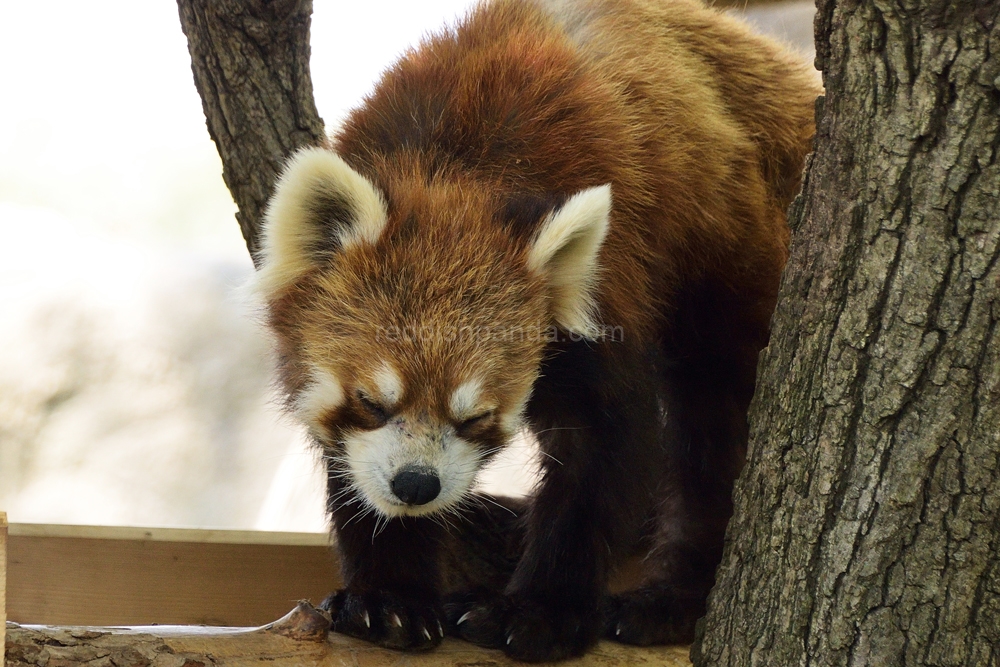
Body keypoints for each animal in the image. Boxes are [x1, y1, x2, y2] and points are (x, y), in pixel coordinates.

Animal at [254, 0, 816, 660]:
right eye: (370, 400)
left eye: (477, 416)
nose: (417, 485)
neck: (454, 168)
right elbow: (357, 469)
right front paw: (389, 598)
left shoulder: (615, 283)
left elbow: (601, 451)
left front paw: (542, 612)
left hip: (733, 265)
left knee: (712, 428)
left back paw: (667, 601)